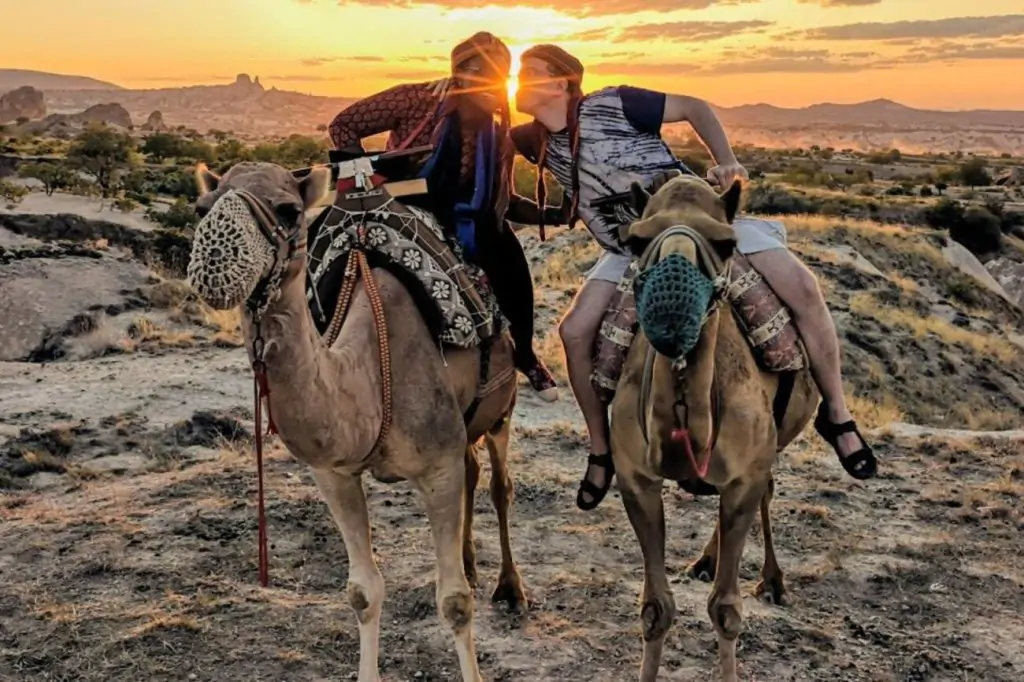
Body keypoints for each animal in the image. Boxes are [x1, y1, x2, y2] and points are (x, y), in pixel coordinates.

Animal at [185, 160, 532, 679]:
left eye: (289, 211)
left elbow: (454, 603)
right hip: (463, 424)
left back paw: (510, 588)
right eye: (202, 207)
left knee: (498, 485)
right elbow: (362, 593)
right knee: (472, 470)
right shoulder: (334, 473)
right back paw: (470, 561)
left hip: (501, 409)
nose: (215, 259)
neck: (369, 370)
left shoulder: (437, 466)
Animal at [606, 173, 823, 675]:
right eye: (636, 239)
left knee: (766, 491)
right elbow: (655, 609)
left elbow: (725, 609)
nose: (672, 309)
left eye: (727, 244)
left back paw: (773, 580)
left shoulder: (745, 474)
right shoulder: (635, 478)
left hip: (773, 444)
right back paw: (706, 559)